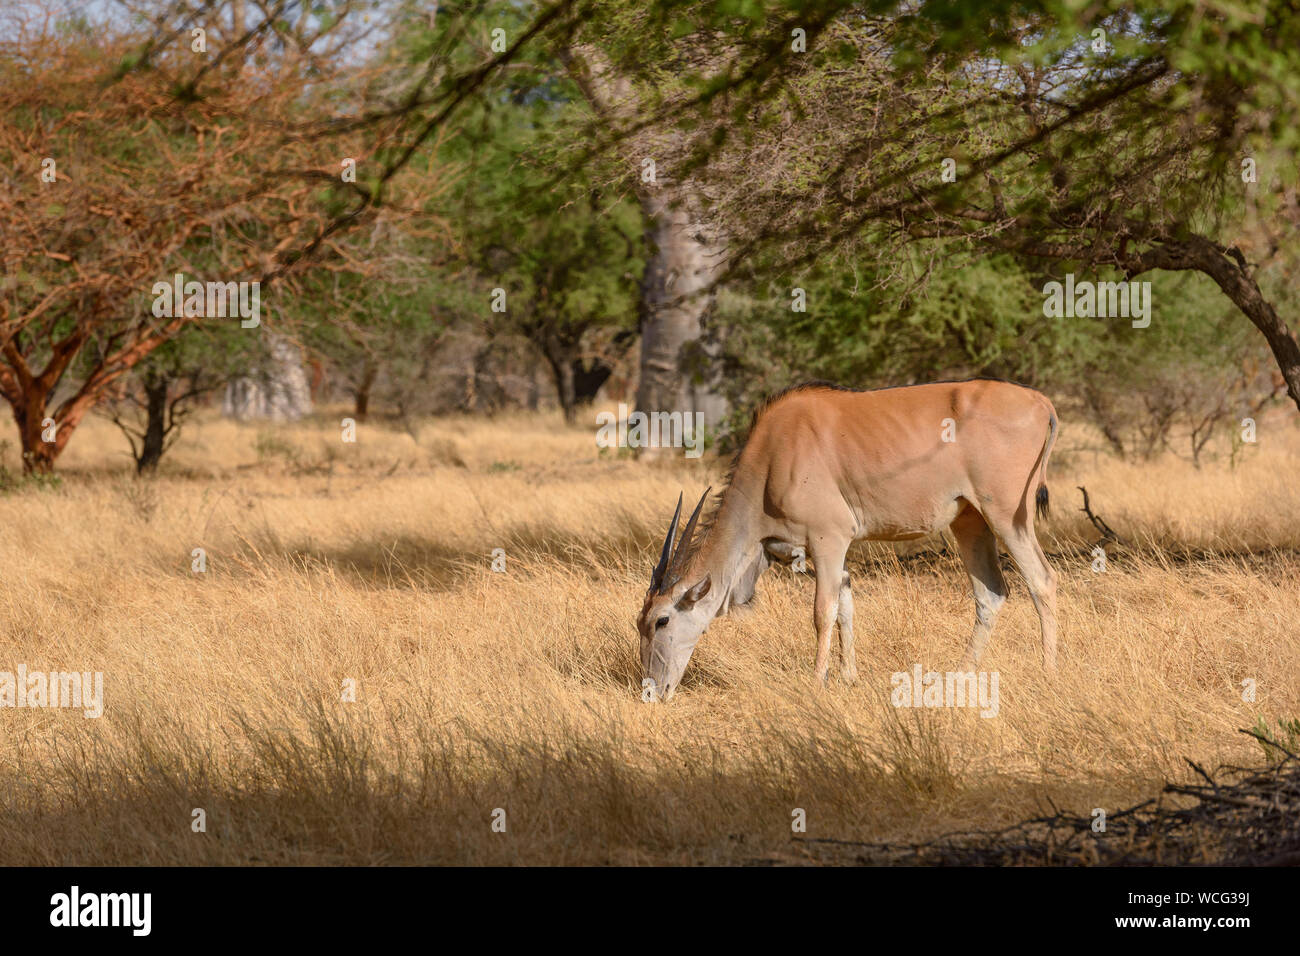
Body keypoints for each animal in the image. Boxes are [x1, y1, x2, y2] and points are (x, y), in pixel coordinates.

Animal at [637, 382, 1055, 702]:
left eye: (662, 620)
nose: (651, 692)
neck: (773, 457)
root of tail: (1041, 402)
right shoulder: (815, 553)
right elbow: (846, 607)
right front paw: (849, 678)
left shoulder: (829, 539)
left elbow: (824, 612)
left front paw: (817, 681)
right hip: (970, 521)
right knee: (991, 594)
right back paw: (961, 674)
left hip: (1007, 517)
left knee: (1042, 581)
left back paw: (1049, 668)